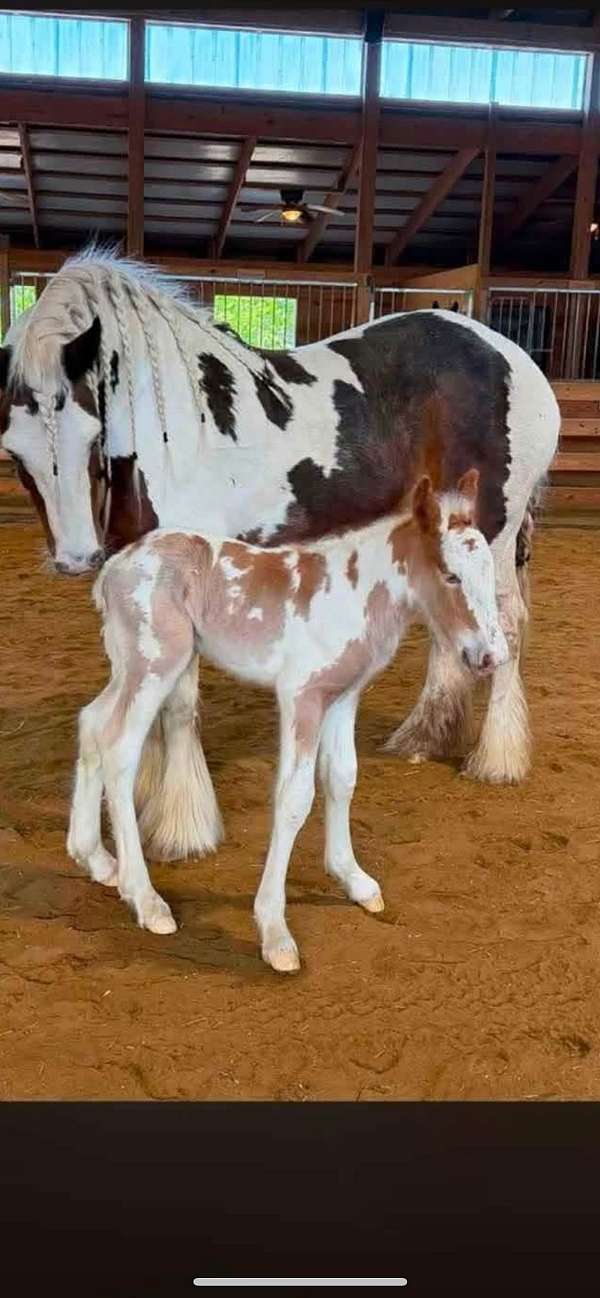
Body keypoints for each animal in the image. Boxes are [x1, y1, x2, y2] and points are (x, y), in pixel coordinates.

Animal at [0, 247, 559, 864]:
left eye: (91, 431)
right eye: (14, 451)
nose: (75, 557)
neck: (170, 431)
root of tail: (515, 359)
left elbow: (178, 704)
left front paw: (182, 827)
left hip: (494, 538)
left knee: (505, 624)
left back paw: (496, 759)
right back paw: (424, 736)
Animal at [67, 470, 508, 973]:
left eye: (489, 571)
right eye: (451, 575)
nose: (492, 657)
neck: (354, 594)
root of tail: (115, 568)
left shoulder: (343, 697)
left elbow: (342, 777)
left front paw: (354, 881)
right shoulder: (301, 697)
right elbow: (295, 798)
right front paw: (274, 932)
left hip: (129, 669)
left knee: (92, 724)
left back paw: (95, 860)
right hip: (156, 667)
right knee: (119, 747)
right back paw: (146, 900)